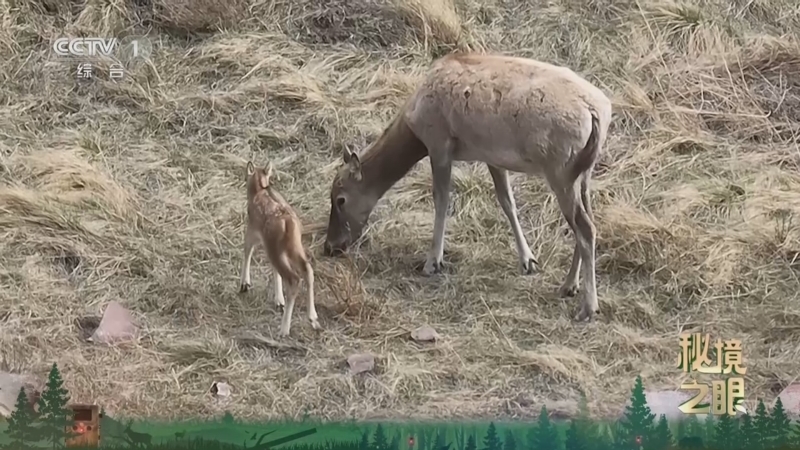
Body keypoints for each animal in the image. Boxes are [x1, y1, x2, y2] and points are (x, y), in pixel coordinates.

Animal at [239, 161, 321, 336]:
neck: (257, 192)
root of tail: (289, 224)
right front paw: (279, 300)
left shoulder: (252, 231)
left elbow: (247, 250)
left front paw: (244, 284)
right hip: (293, 246)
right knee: (307, 270)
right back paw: (313, 317)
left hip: (277, 248)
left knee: (293, 278)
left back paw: (284, 329)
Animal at [323, 53, 612, 322]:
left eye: (340, 199)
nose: (330, 246)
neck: (414, 126)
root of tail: (597, 113)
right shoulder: (493, 157)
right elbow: (507, 201)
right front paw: (528, 260)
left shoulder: (439, 143)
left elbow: (441, 200)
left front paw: (433, 262)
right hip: (582, 172)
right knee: (588, 219)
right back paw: (569, 285)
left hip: (560, 170)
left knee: (585, 227)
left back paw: (588, 306)